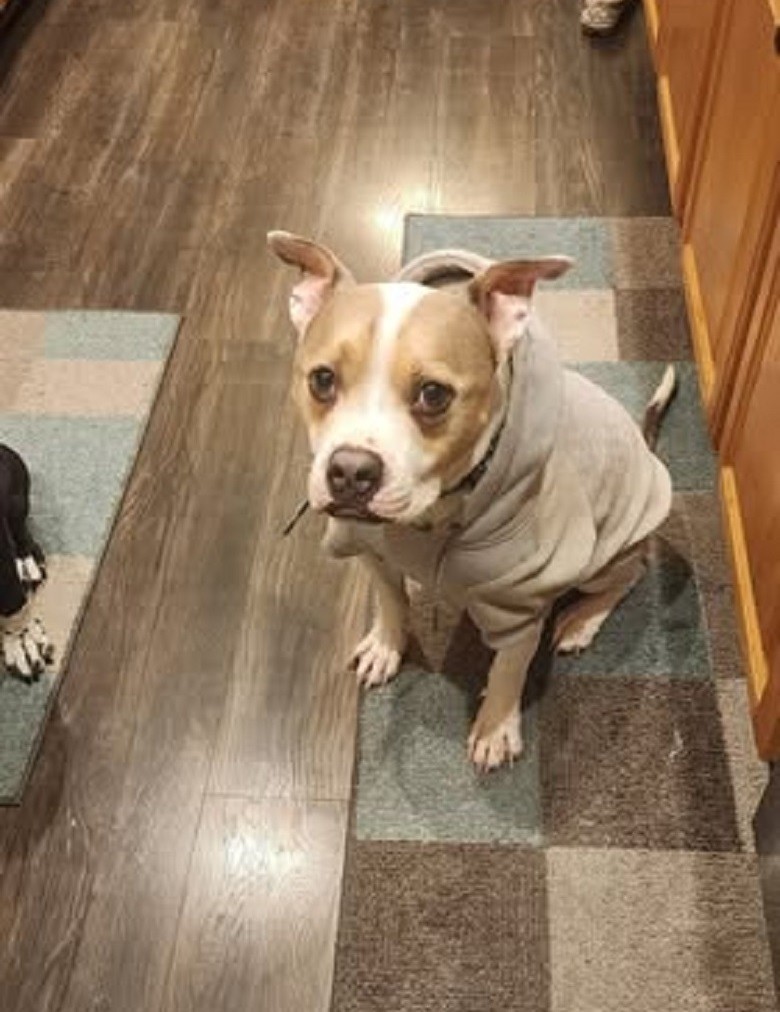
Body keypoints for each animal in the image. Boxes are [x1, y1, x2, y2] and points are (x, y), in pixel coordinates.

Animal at [268, 231, 676, 770]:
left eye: (433, 394)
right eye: (321, 379)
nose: (351, 472)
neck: (432, 516)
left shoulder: (521, 605)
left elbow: (508, 668)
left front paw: (496, 725)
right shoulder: (369, 546)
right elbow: (391, 598)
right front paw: (387, 644)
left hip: (605, 555)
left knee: (630, 576)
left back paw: (582, 622)